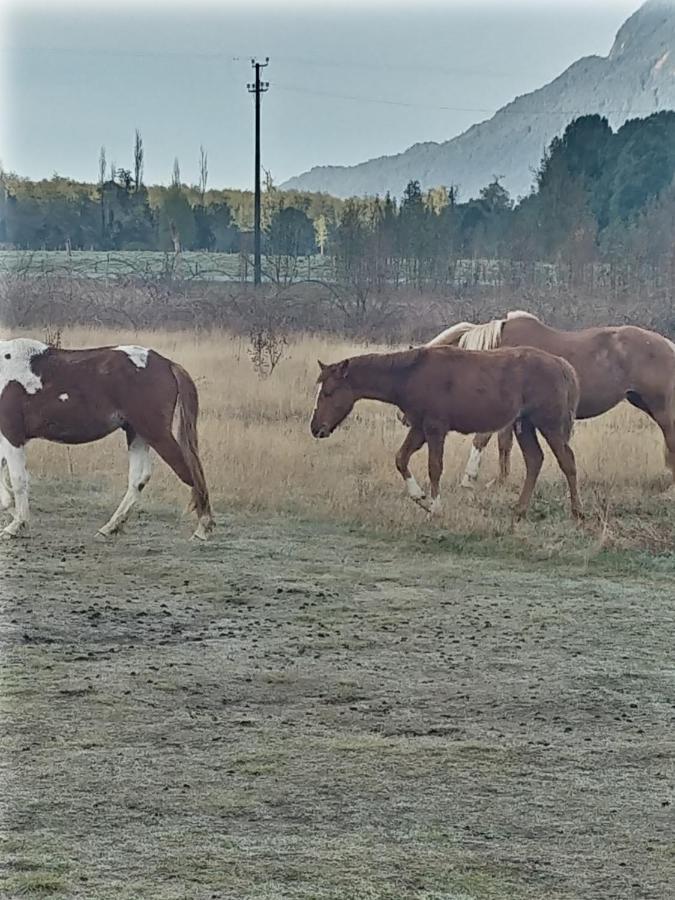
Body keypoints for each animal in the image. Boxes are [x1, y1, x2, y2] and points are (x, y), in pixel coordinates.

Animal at [0, 336, 215, 536]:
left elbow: (18, 479)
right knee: (139, 478)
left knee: (190, 473)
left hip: (155, 432)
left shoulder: (12, 435)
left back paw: (203, 528)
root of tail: (168, 364)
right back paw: (110, 527)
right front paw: (12, 511)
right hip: (137, 433)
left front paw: (16, 524)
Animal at [310, 342, 580, 520]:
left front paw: (435, 507)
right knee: (534, 460)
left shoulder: (434, 429)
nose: (315, 428)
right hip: (525, 426)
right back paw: (520, 510)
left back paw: (577, 513)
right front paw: (419, 497)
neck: (411, 375)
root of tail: (562, 365)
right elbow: (401, 458)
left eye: (328, 393)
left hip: (549, 425)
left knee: (567, 461)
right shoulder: (419, 428)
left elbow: (435, 467)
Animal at [428, 310, 675, 492]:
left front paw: (469, 479)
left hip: (660, 407)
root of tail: (667, 344)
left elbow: (482, 439)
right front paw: (501, 480)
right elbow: (503, 444)